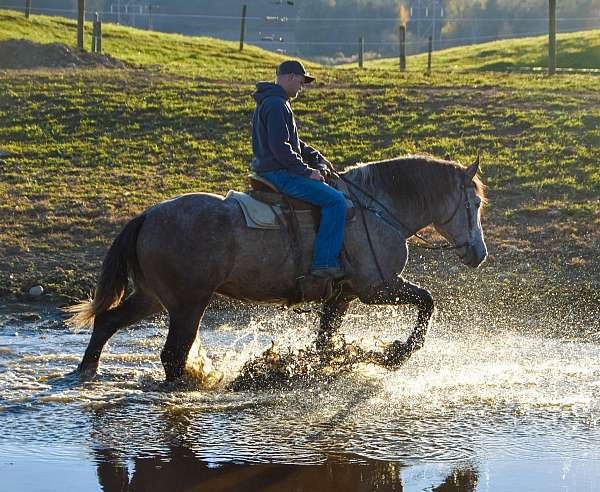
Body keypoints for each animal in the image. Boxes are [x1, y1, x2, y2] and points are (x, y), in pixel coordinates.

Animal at [68, 156, 488, 382]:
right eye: (475, 204)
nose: (479, 253)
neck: (376, 210)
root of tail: (148, 216)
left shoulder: (344, 295)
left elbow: (326, 341)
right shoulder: (376, 288)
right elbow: (427, 302)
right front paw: (396, 353)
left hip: (154, 297)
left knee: (106, 322)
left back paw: (86, 371)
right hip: (188, 304)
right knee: (173, 354)